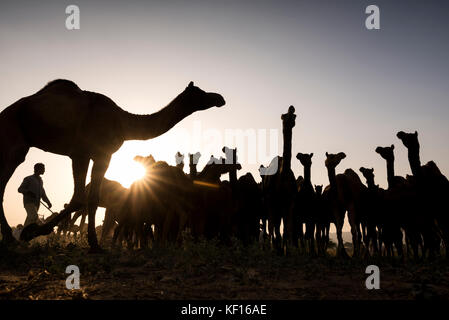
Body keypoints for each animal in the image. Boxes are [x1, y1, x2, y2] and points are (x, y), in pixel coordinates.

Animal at [0, 79, 224, 250]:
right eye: (199, 92)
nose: (219, 98)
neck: (124, 122)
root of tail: (4, 112)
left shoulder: (101, 154)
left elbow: (92, 198)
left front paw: (94, 244)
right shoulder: (81, 153)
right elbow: (79, 197)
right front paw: (31, 232)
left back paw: (10, 238)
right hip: (14, 139)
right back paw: (11, 239)